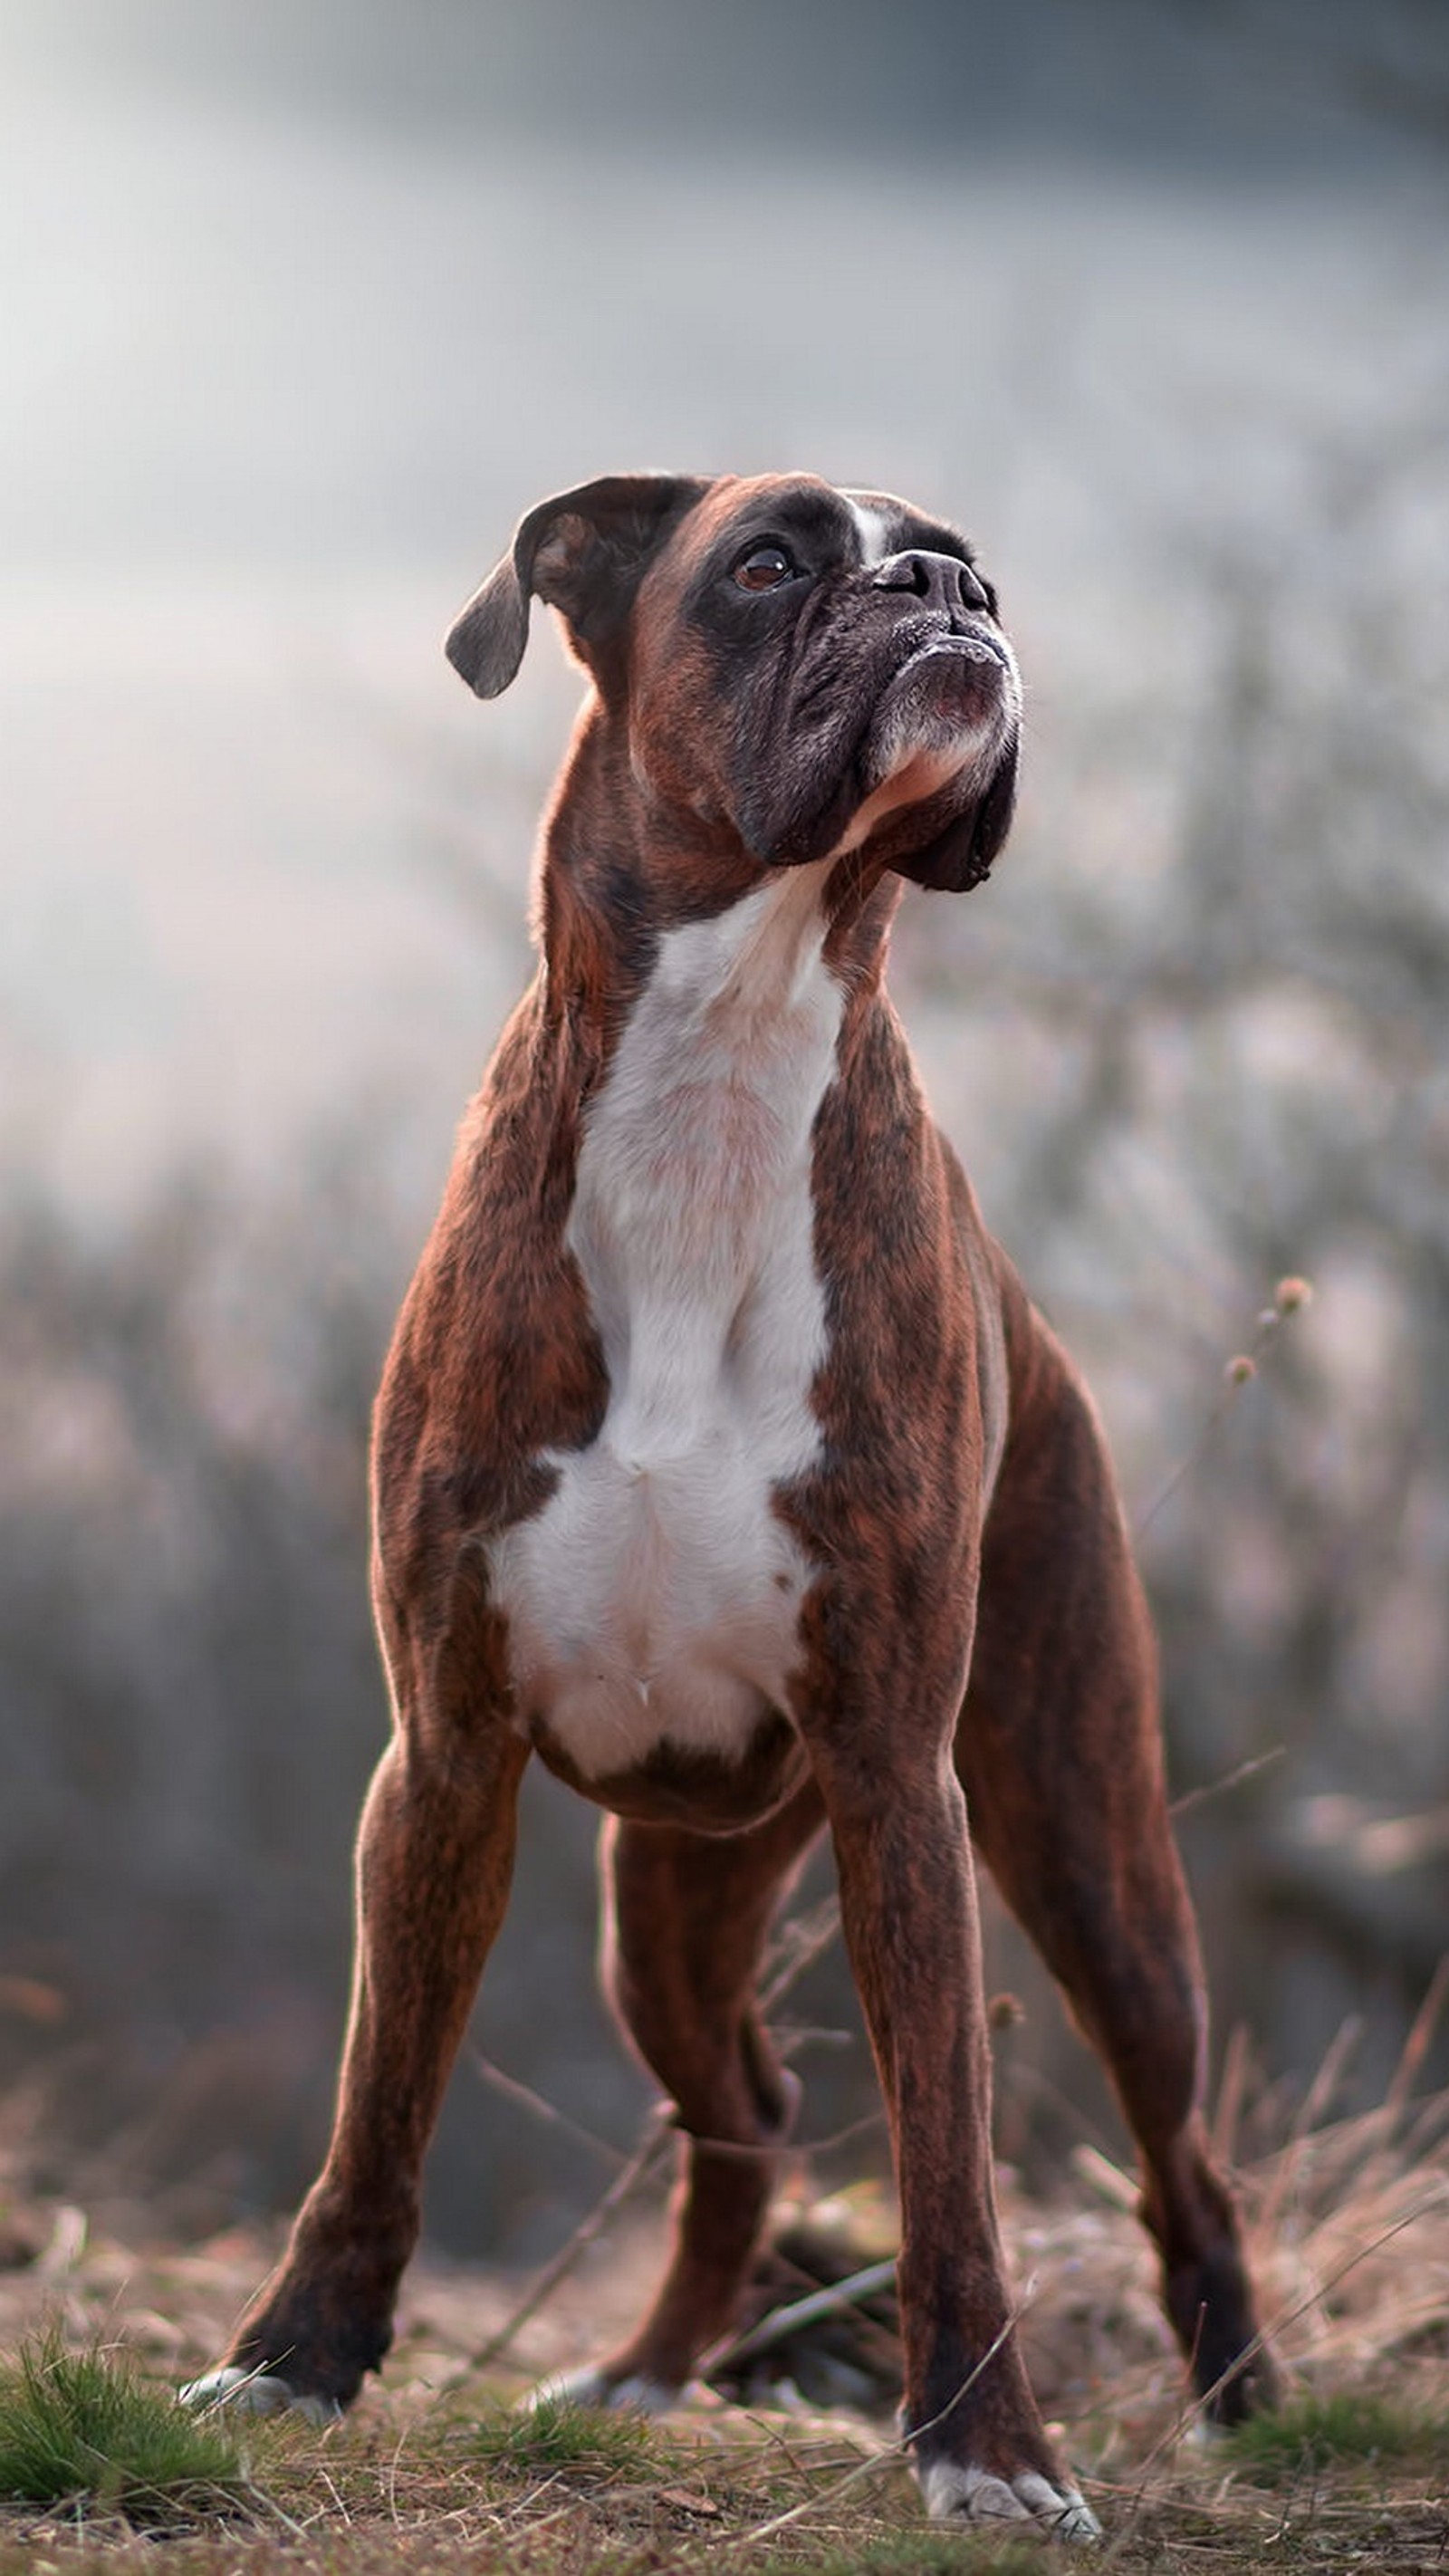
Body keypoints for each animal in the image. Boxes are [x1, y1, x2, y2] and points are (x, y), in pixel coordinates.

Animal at [184, 478, 1281, 2534]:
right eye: (770, 561)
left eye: (964, 558)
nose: (946, 588)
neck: (726, 1055)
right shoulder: (440, 1756)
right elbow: (379, 2103)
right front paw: (294, 2361)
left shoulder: (900, 1784)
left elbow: (946, 2161)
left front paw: (988, 2453)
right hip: (669, 1915)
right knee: (743, 2122)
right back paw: (641, 2370)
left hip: (1088, 1851)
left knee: (1179, 2153)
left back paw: (1249, 2400)